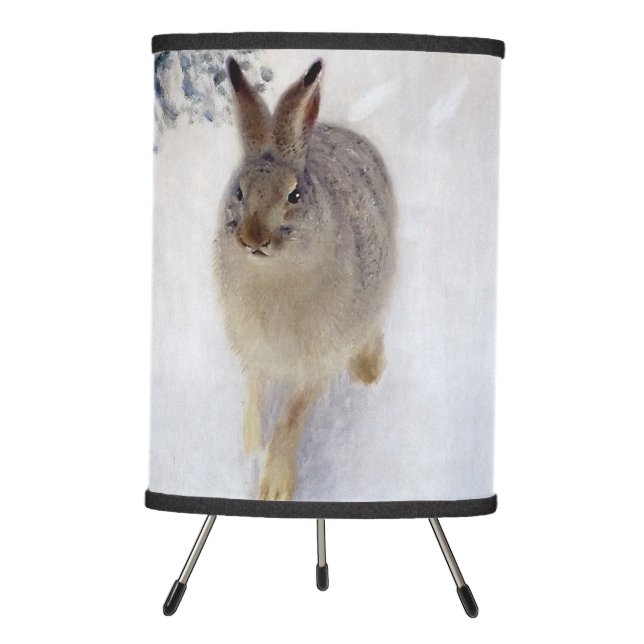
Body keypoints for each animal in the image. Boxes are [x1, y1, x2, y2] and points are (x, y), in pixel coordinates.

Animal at [214, 56, 397, 500]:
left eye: (294, 196)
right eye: (239, 191)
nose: (253, 238)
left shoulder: (320, 358)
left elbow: (292, 416)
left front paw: (274, 487)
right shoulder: (256, 351)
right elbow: (256, 393)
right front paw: (249, 447)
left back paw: (368, 370)